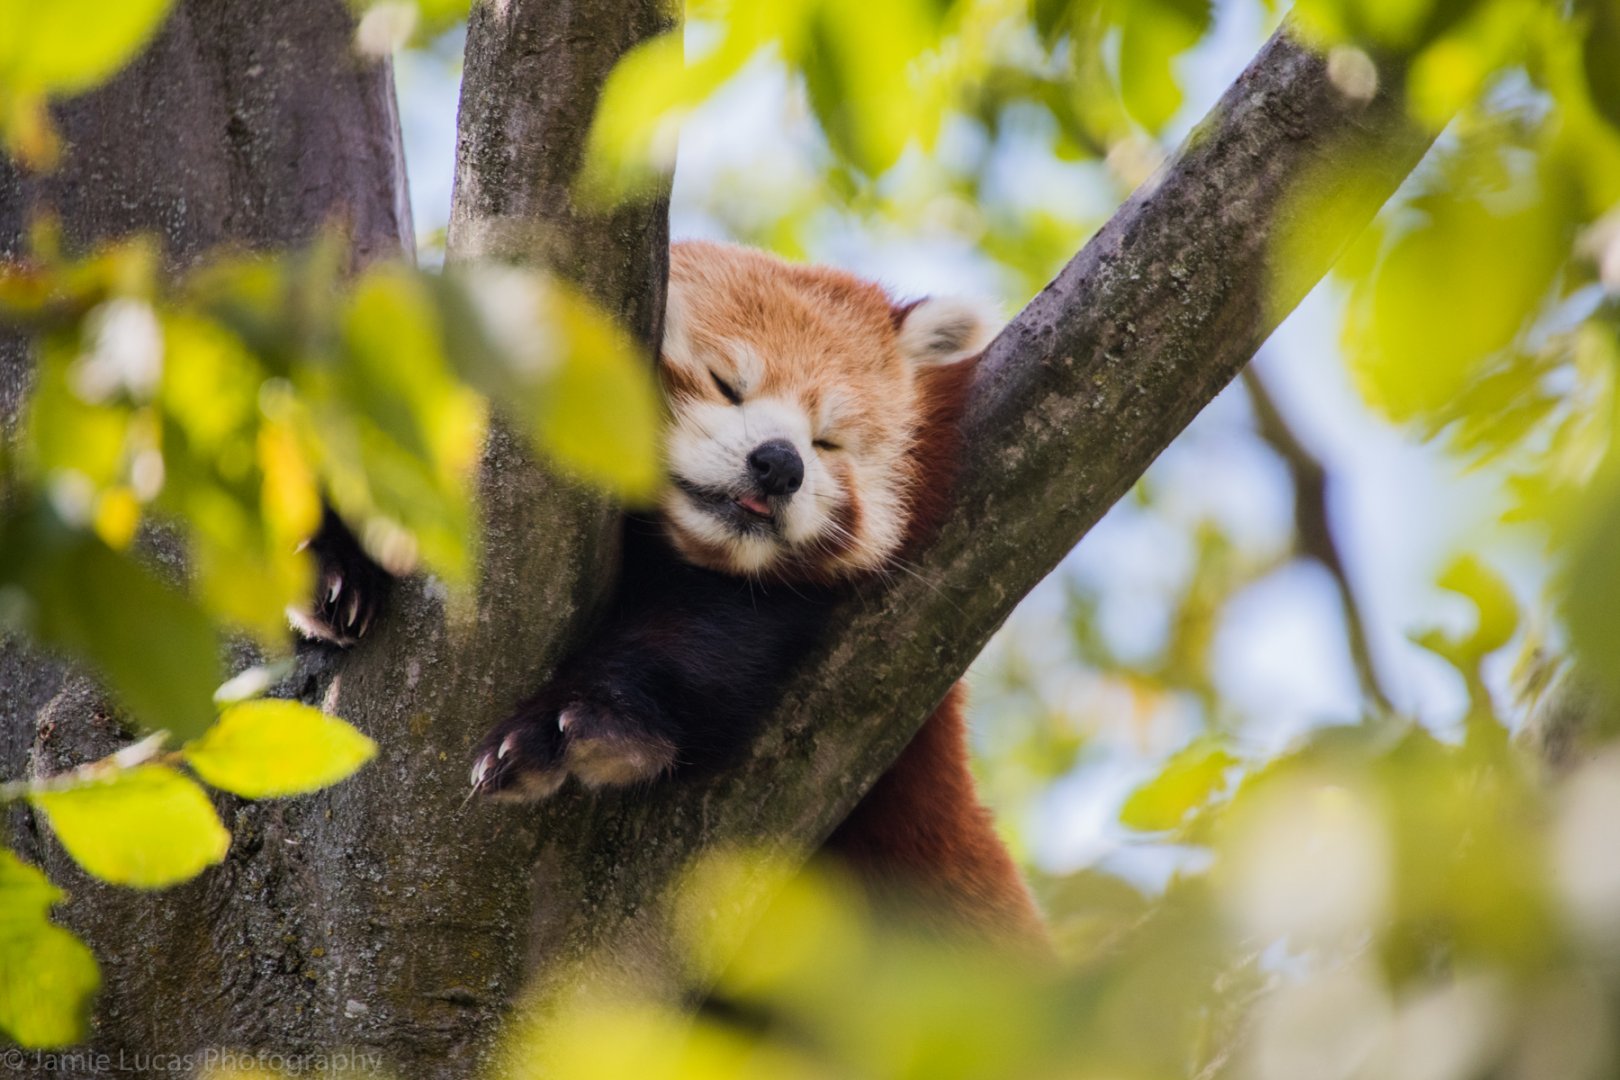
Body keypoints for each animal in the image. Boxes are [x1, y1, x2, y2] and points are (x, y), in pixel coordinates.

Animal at [305, 241, 1044, 944]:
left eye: (829, 441)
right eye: (727, 384)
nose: (780, 464)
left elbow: (704, 646)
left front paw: (584, 725)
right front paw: (337, 569)